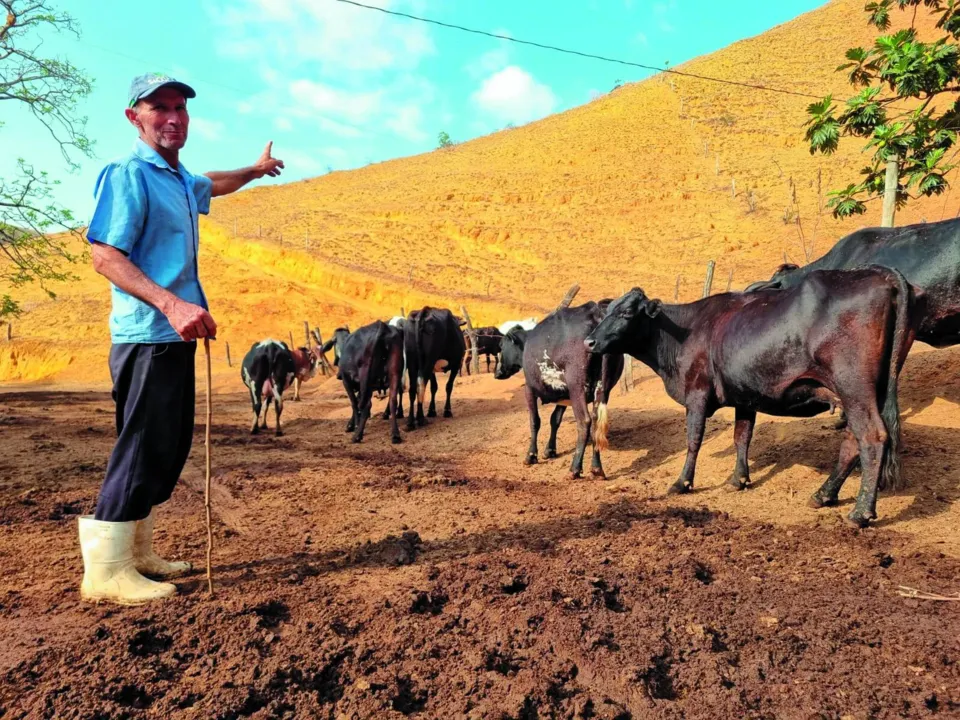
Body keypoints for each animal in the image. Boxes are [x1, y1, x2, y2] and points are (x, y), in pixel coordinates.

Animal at [498, 302, 628, 478]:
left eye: (501, 346)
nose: (497, 372)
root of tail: (596, 315)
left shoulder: (530, 389)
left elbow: (535, 421)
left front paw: (531, 455)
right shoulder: (564, 394)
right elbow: (555, 419)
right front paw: (550, 450)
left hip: (577, 386)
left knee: (584, 421)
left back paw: (575, 468)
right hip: (602, 389)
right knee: (596, 422)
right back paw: (596, 468)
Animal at [584, 268, 916, 524]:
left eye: (626, 312)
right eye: (607, 311)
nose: (589, 342)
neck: (686, 332)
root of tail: (881, 274)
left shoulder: (697, 394)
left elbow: (694, 440)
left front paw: (682, 483)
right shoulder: (745, 395)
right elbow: (741, 437)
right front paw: (738, 480)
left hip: (854, 387)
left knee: (871, 437)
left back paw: (861, 513)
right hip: (861, 392)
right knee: (851, 441)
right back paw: (823, 495)